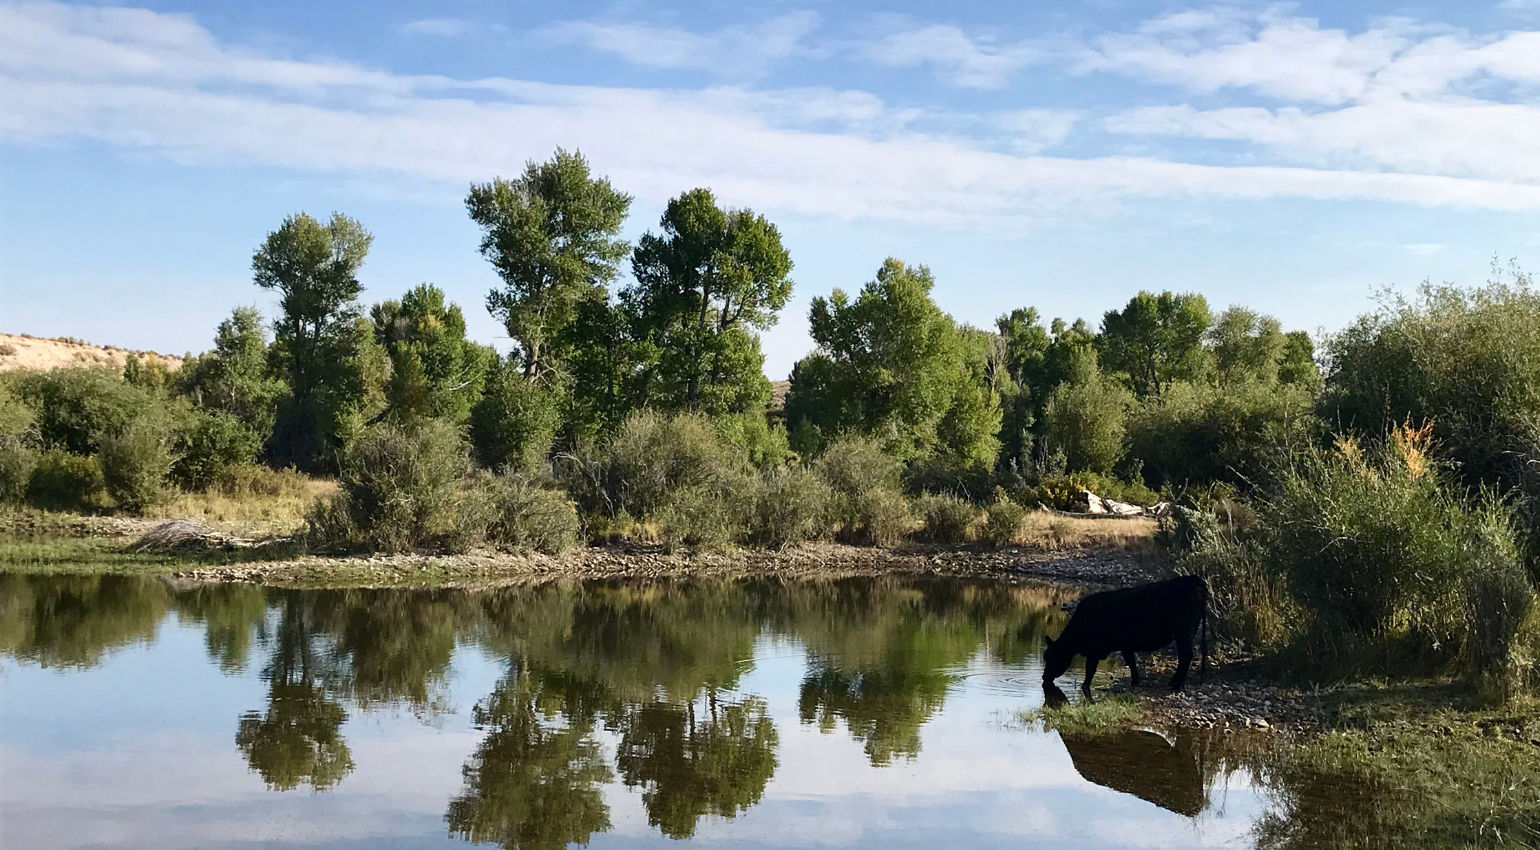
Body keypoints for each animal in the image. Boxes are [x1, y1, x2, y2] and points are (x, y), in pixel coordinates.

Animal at [1041, 569, 1207, 696]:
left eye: (1050, 657)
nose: (1044, 676)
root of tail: (1192, 579)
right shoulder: (1125, 646)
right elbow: (1131, 662)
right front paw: (1135, 681)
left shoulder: (1094, 650)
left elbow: (1090, 670)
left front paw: (1085, 686)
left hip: (1183, 632)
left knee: (1186, 656)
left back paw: (1176, 685)